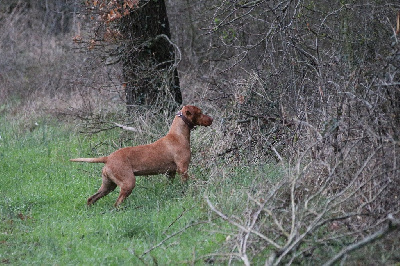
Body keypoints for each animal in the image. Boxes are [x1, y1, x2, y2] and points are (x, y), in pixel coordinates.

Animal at [69, 105, 212, 207]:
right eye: (200, 112)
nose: (212, 119)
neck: (178, 135)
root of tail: (108, 158)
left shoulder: (170, 173)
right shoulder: (183, 169)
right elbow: (185, 184)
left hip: (108, 185)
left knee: (91, 199)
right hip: (128, 183)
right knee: (116, 203)